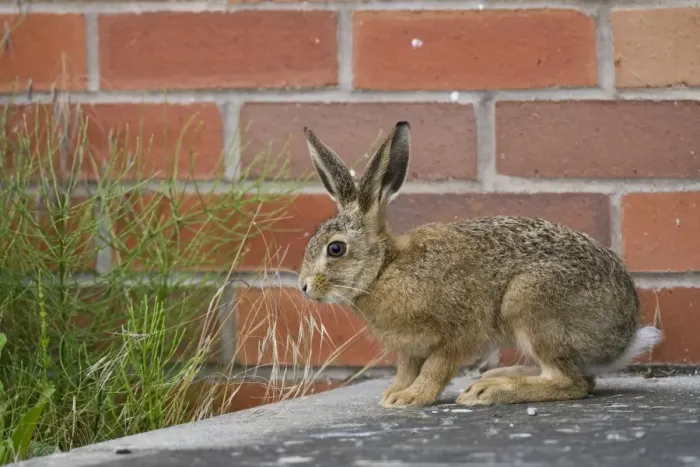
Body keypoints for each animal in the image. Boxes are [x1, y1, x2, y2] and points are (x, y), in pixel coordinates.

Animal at [297, 121, 663, 408]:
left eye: (336, 249)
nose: (303, 286)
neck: (384, 270)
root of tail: (622, 340)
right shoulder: (408, 350)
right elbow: (406, 369)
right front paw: (394, 394)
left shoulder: (459, 332)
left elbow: (436, 368)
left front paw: (411, 397)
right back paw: (499, 376)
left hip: (530, 303)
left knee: (573, 382)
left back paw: (491, 390)